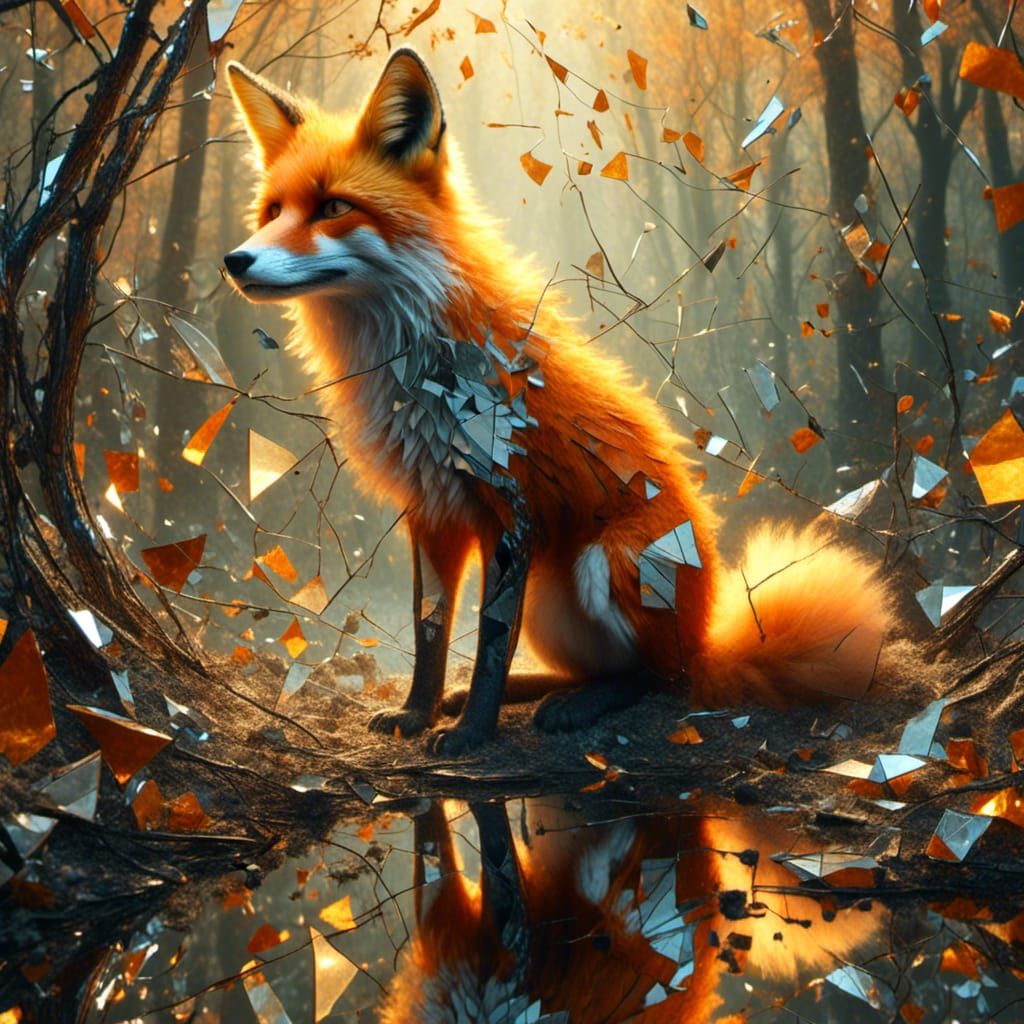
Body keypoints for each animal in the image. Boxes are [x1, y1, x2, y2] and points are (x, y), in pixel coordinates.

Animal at [223, 48, 892, 755]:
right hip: (552, 594)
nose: (235, 260)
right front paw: (420, 711)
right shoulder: (432, 510)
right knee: (591, 667)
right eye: (272, 211)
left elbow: (491, 644)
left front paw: (470, 734)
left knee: (659, 678)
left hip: (611, 558)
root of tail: (710, 639)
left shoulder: (514, 512)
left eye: (332, 207)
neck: (420, 365)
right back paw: (542, 693)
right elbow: (432, 631)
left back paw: (581, 705)